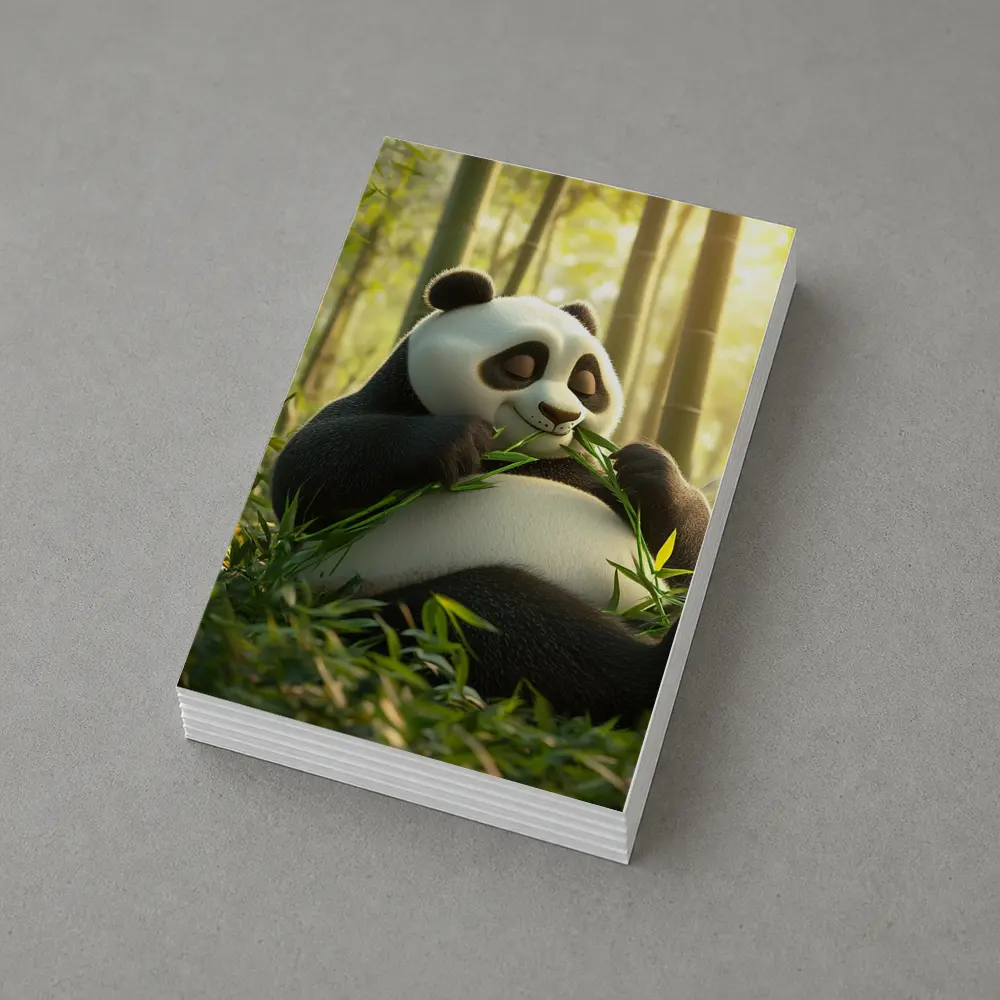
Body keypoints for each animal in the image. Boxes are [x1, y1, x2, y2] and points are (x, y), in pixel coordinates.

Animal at [270, 267, 710, 725]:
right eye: (522, 365)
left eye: (586, 382)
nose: (561, 415)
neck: (521, 453)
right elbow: (306, 471)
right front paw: (457, 441)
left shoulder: (588, 471)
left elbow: (681, 558)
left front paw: (646, 468)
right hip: (390, 604)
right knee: (516, 624)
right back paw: (650, 664)